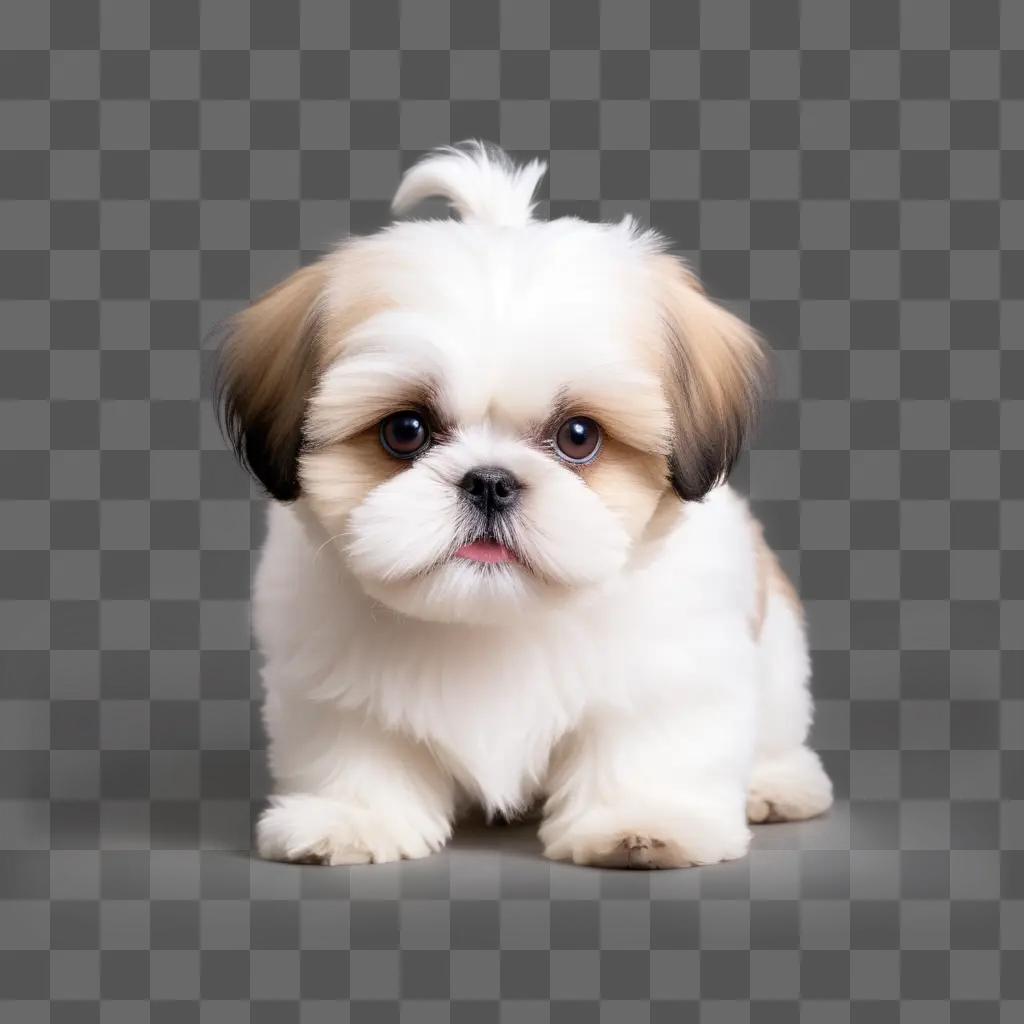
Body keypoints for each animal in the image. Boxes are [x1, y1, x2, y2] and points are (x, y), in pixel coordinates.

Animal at [218, 140, 831, 868]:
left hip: (781, 657)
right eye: (406, 431)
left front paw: (642, 821)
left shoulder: (671, 671)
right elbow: (359, 741)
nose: (490, 481)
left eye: (579, 436)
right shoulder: (332, 678)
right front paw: (352, 818)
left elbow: (647, 741)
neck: (496, 623)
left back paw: (778, 783)